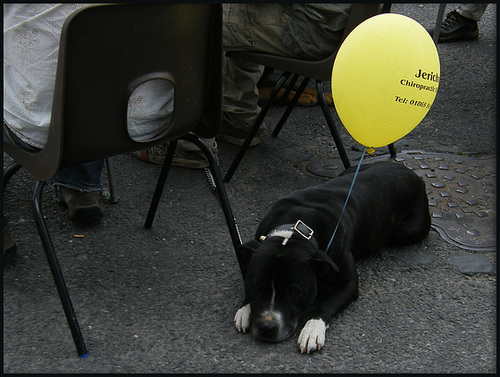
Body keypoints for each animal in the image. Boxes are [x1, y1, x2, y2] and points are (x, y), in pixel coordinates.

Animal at [232, 159, 432, 352]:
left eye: (294, 291)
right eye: (256, 285)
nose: (267, 327)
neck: (295, 230)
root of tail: (409, 171)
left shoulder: (348, 283)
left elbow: (325, 305)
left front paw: (312, 331)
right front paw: (245, 309)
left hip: (411, 231)